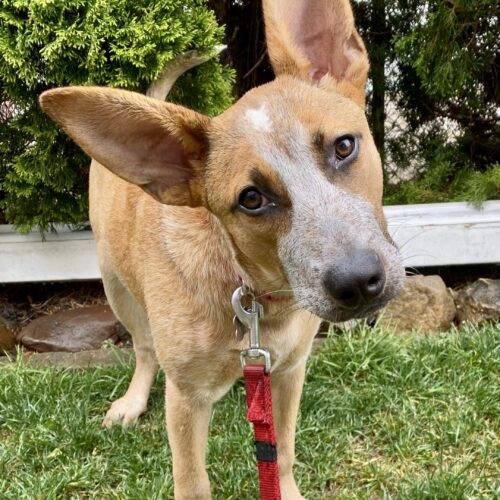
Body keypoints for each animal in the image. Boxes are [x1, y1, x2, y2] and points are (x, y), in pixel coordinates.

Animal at [40, 0, 406, 496]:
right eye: (251, 198)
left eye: (344, 146)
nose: (359, 282)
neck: (256, 298)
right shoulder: (187, 400)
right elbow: (192, 482)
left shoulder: (289, 371)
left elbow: (281, 453)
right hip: (117, 288)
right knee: (144, 349)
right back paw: (133, 400)